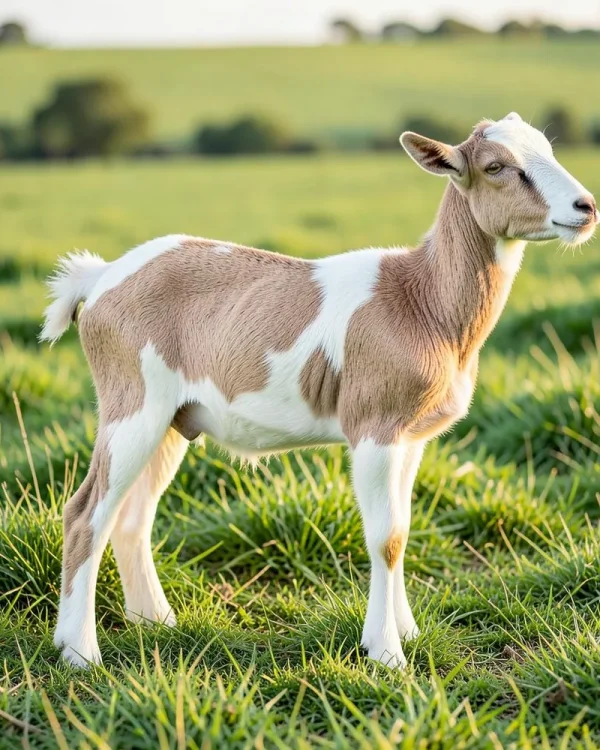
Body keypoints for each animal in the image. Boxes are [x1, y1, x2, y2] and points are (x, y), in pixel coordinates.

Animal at [41, 112, 598, 668]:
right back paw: (80, 652)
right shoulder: (374, 427)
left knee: (132, 517)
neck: (421, 300)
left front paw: (409, 631)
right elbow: (386, 537)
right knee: (86, 513)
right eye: (496, 166)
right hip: (132, 404)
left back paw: (154, 622)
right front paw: (386, 653)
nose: (585, 207)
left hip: (174, 420)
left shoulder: (412, 436)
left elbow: (405, 526)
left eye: (548, 149)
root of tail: (99, 277)